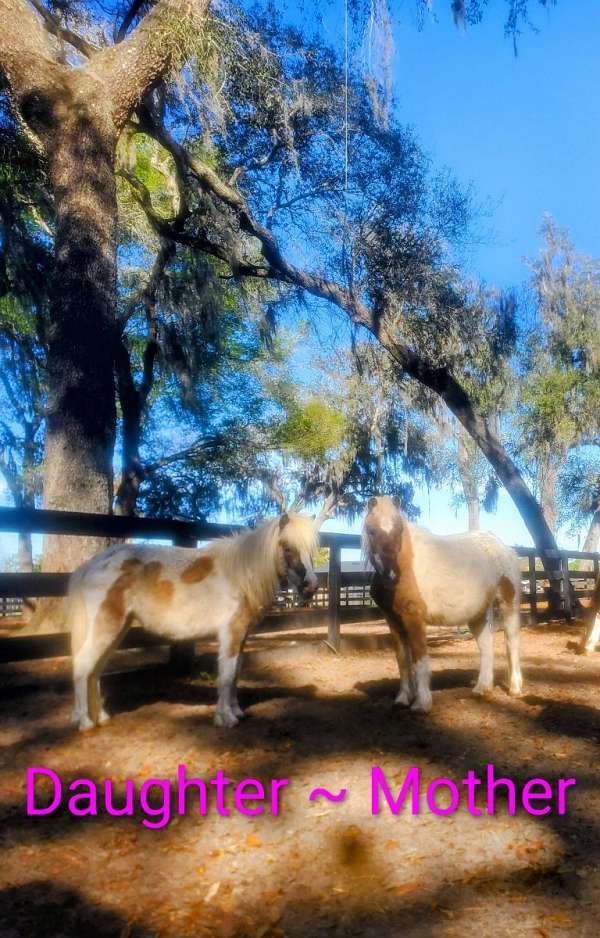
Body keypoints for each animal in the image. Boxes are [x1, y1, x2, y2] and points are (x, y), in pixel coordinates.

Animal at [66, 511, 320, 731]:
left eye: (311, 549)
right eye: (287, 547)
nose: (311, 587)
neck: (239, 575)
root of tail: (90, 565)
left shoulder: (242, 635)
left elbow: (236, 672)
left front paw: (237, 712)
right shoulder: (230, 634)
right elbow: (227, 674)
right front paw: (225, 718)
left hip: (116, 630)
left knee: (95, 670)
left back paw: (101, 717)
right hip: (105, 628)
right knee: (83, 666)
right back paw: (85, 723)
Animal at [363, 495, 523, 713]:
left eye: (399, 530)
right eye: (372, 530)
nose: (391, 575)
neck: (406, 563)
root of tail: (502, 546)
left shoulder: (414, 618)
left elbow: (420, 659)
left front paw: (421, 704)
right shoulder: (392, 620)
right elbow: (402, 660)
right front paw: (402, 699)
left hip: (508, 604)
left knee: (511, 642)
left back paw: (515, 689)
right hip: (477, 613)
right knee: (486, 647)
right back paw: (482, 689)